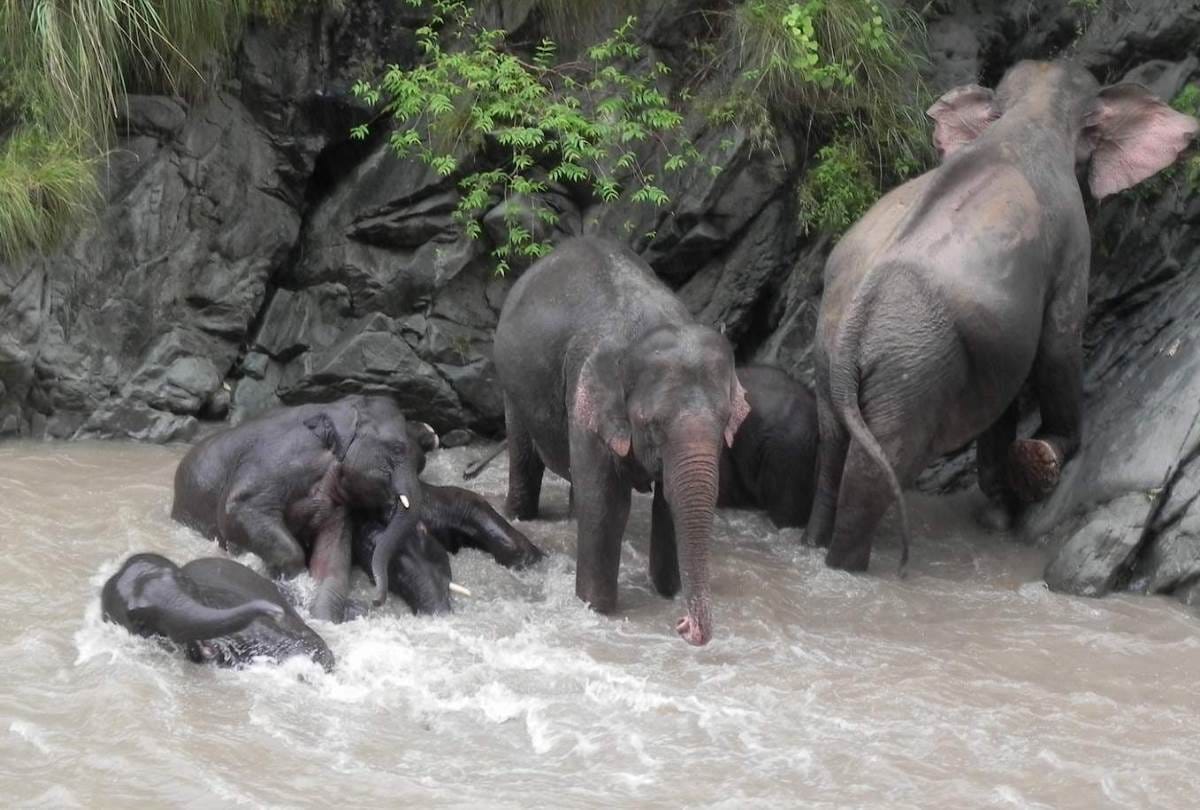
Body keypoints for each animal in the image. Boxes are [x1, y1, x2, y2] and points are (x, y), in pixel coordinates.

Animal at [494, 237, 749, 646]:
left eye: (725, 420)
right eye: (652, 424)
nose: (683, 626)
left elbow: (667, 502)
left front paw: (665, 591)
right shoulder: (585, 397)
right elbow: (606, 504)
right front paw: (595, 609)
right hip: (512, 385)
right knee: (523, 455)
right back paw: (518, 515)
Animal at [808, 60, 1199, 572]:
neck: (1029, 113)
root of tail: (854, 320)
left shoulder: (993, 334)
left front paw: (998, 511)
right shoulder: (1072, 241)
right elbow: (1058, 344)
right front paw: (1044, 459)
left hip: (837, 355)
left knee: (831, 452)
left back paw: (814, 543)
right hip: (912, 364)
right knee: (880, 463)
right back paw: (851, 566)